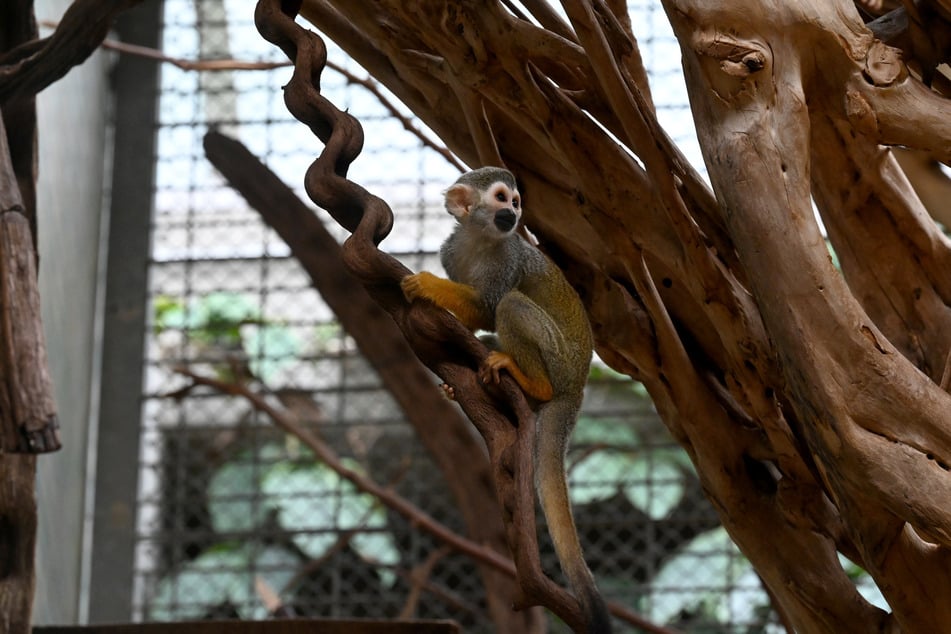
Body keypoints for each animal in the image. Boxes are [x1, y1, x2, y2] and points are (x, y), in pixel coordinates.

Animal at [400, 165, 608, 628]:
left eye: (515, 201)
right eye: (501, 198)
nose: (513, 214)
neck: (480, 240)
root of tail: (576, 387)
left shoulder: (510, 258)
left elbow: (488, 305)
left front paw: (426, 283)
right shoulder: (451, 249)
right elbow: (475, 317)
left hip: (558, 358)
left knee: (511, 303)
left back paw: (531, 383)